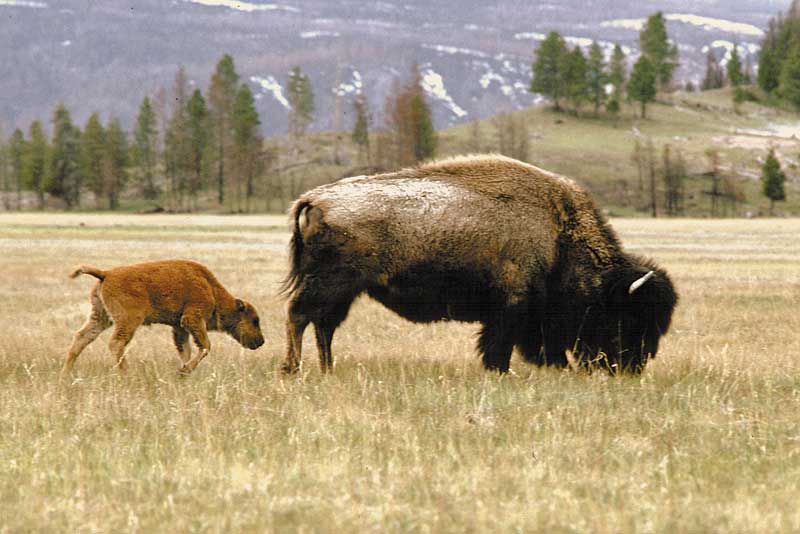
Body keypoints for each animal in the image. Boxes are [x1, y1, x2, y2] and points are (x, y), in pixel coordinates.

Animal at [63, 262, 262, 374]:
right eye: (254, 320)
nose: (261, 341)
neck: (211, 288)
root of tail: (106, 273)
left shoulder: (179, 327)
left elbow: (185, 350)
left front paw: (183, 371)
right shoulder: (192, 319)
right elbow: (205, 346)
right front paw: (185, 371)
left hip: (101, 317)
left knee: (82, 337)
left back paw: (66, 373)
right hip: (129, 320)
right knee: (116, 343)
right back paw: (127, 373)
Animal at [282, 154, 676, 376]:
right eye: (628, 318)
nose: (632, 368)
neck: (560, 234)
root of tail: (316, 198)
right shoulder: (513, 306)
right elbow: (501, 344)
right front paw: (501, 371)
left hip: (343, 292)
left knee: (324, 326)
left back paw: (328, 369)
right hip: (330, 285)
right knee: (300, 316)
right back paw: (292, 369)